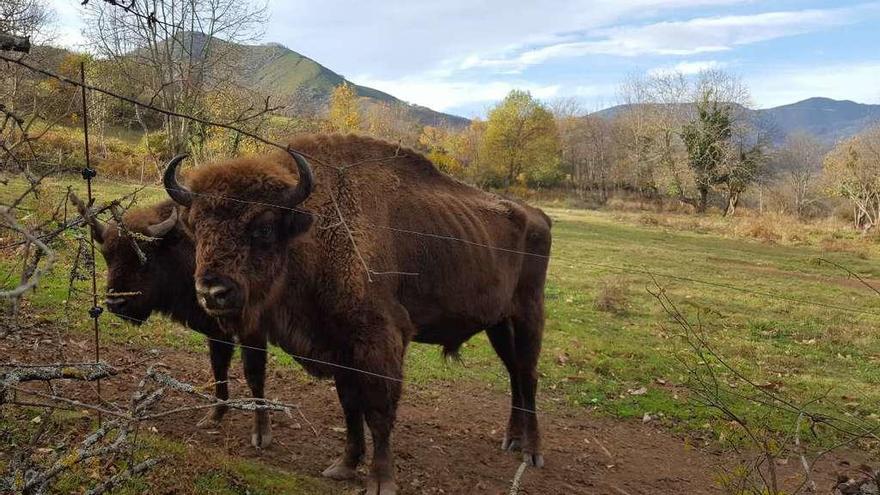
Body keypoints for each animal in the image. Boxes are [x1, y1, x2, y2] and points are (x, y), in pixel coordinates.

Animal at [70, 194, 272, 450]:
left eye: (145, 255)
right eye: (107, 255)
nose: (116, 303)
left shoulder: (252, 332)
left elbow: (253, 374)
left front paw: (261, 434)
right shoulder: (217, 332)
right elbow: (218, 368)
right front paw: (214, 416)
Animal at [161, 135, 552, 495]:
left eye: (264, 227)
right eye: (197, 228)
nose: (212, 292)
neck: (317, 230)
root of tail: (538, 216)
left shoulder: (379, 341)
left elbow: (378, 410)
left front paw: (381, 481)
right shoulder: (339, 348)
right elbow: (349, 405)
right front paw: (344, 465)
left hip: (529, 314)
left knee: (528, 375)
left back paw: (532, 453)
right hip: (498, 324)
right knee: (515, 375)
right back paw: (511, 440)